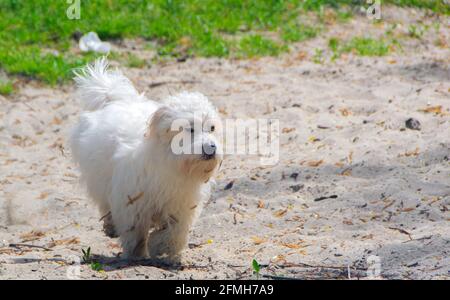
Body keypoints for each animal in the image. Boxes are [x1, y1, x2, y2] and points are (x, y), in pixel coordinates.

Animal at [69, 58, 222, 260]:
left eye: (212, 128)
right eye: (189, 128)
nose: (211, 149)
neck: (170, 162)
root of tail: (115, 98)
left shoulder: (181, 204)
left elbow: (174, 231)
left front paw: (163, 247)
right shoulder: (133, 202)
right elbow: (135, 231)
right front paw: (137, 253)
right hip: (99, 179)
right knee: (104, 202)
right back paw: (111, 225)